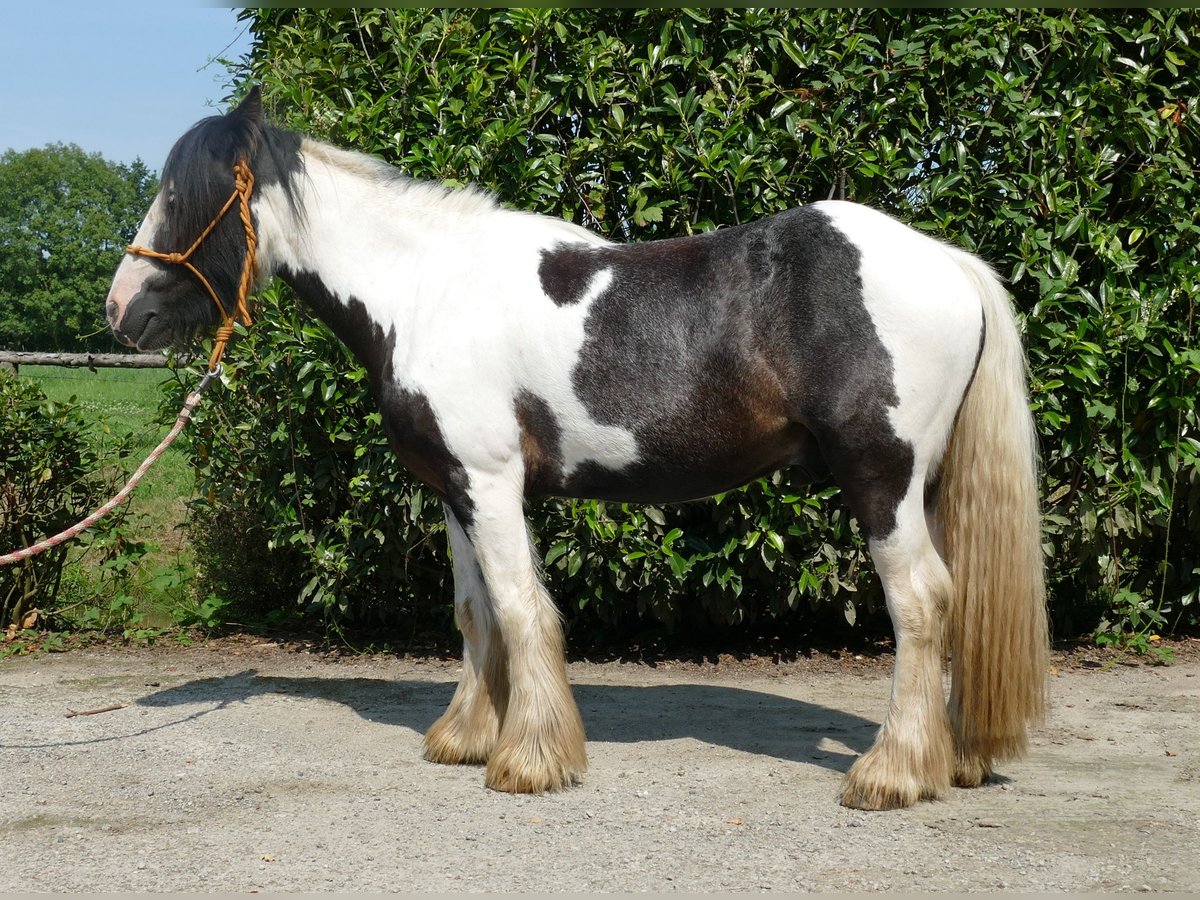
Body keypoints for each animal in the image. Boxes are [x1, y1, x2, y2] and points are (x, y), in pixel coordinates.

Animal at [108, 88, 1046, 816]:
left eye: (180, 195)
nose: (122, 311)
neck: (423, 290)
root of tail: (947, 262)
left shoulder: (491, 481)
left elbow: (522, 609)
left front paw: (528, 760)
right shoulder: (456, 488)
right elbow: (476, 612)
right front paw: (465, 736)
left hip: (881, 479)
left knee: (921, 603)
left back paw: (893, 775)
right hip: (924, 486)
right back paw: (953, 757)